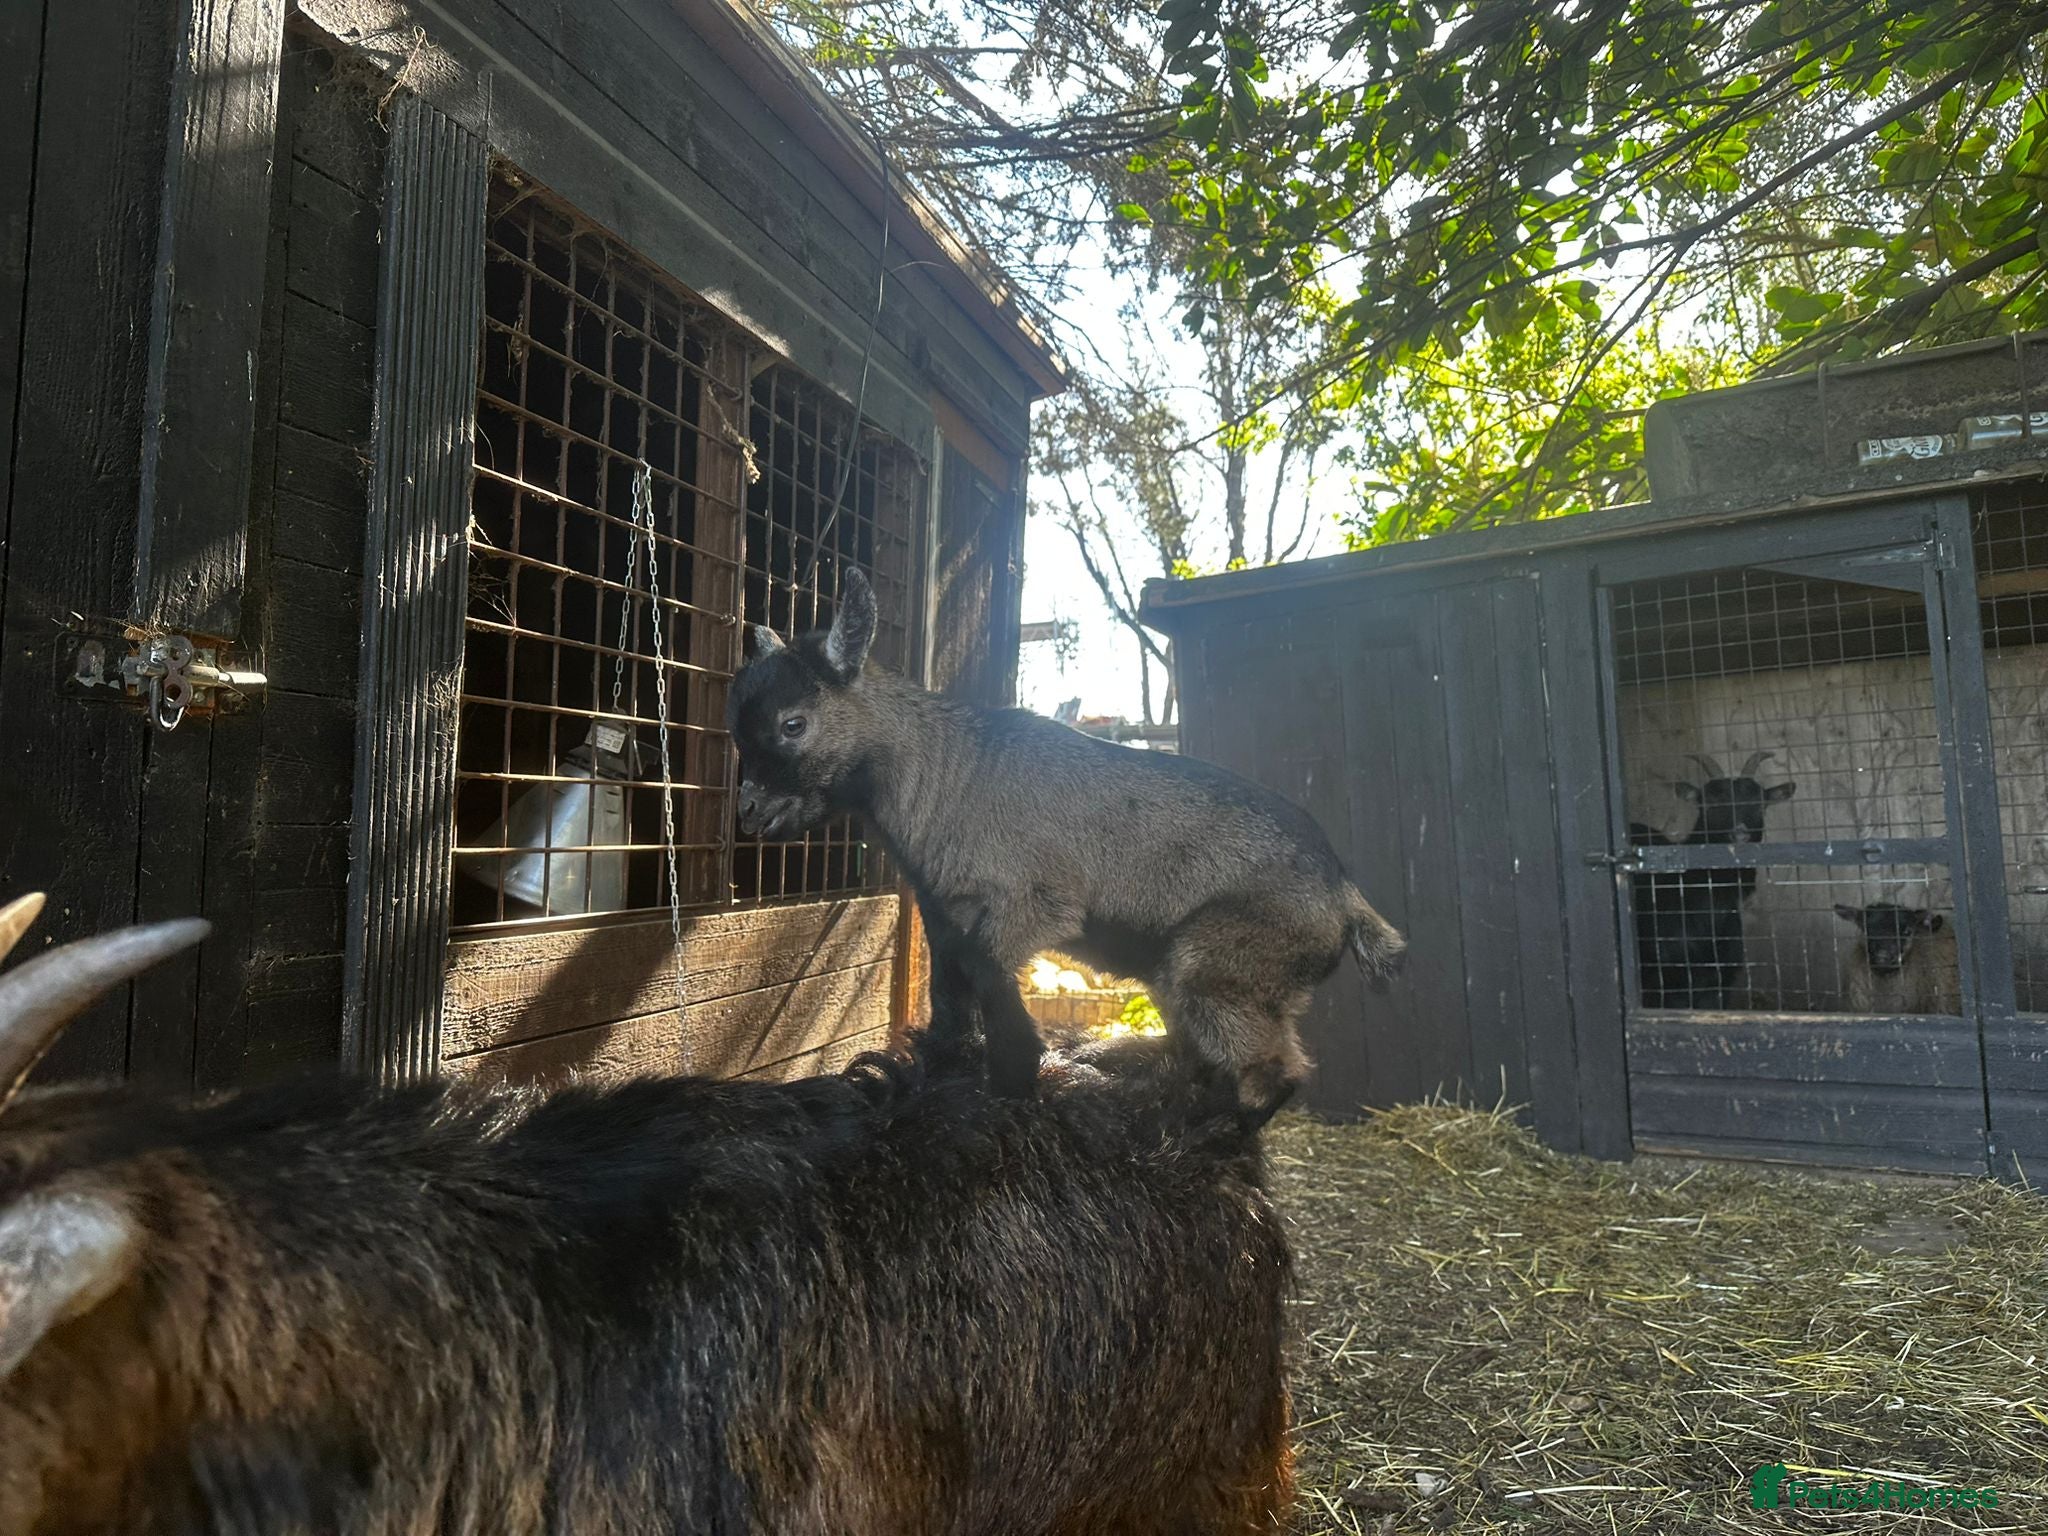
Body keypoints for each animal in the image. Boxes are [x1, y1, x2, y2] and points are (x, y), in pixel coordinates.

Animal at [728, 568, 1405, 1110]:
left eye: (793, 724)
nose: (749, 814)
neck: (946, 769)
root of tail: (1346, 899)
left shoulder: (1034, 904)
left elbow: (989, 971)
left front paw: (1017, 1075)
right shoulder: (943, 915)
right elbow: (949, 997)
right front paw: (947, 1070)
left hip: (1222, 964)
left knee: (1274, 1074)